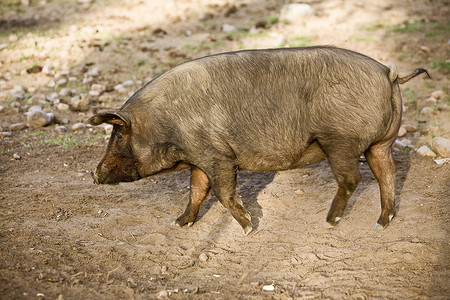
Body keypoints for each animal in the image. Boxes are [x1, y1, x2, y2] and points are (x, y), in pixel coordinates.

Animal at [88, 46, 428, 234]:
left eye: (119, 135)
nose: (94, 173)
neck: (163, 123)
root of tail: (389, 73)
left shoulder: (218, 157)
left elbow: (222, 193)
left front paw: (249, 228)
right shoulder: (200, 158)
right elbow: (196, 191)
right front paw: (179, 223)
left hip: (339, 140)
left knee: (352, 178)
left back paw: (330, 221)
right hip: (381, 142)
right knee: (388, 173)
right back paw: (381, 223)